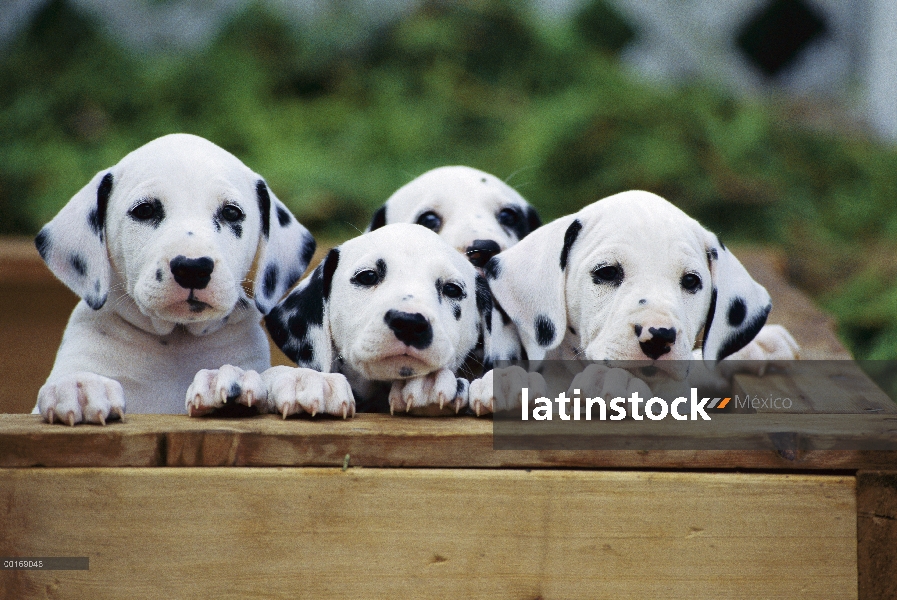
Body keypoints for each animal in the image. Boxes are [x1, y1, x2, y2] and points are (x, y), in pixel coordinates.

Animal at [32, 134, 316, 424]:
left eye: (231, 213)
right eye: (144, 210)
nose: (193, 268)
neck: (175, 342)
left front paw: (288, 380)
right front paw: (80, 385)